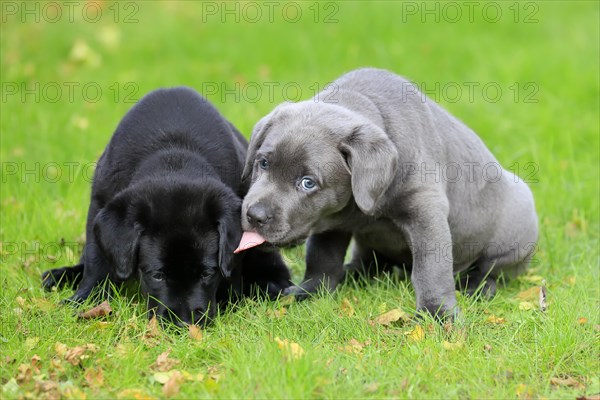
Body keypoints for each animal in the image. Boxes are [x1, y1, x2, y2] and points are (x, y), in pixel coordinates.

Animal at [42, 86, 290, 324]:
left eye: (207, 273)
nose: (183, 322)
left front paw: (230, 300)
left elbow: (232, 266)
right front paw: (87, 297)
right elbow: (96, 259)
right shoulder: (100, 202)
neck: (174, 158)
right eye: (157, 275)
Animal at [239, 69, 540, 318]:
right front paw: (309, 292)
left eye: (307, 183)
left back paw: (476, 286)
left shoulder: (425, 208)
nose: (255, 215)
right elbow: (322, 259)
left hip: (514, 228)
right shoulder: (330, 221)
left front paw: (437, 314)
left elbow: (431, 267)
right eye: (263, 163)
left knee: (492, 270)